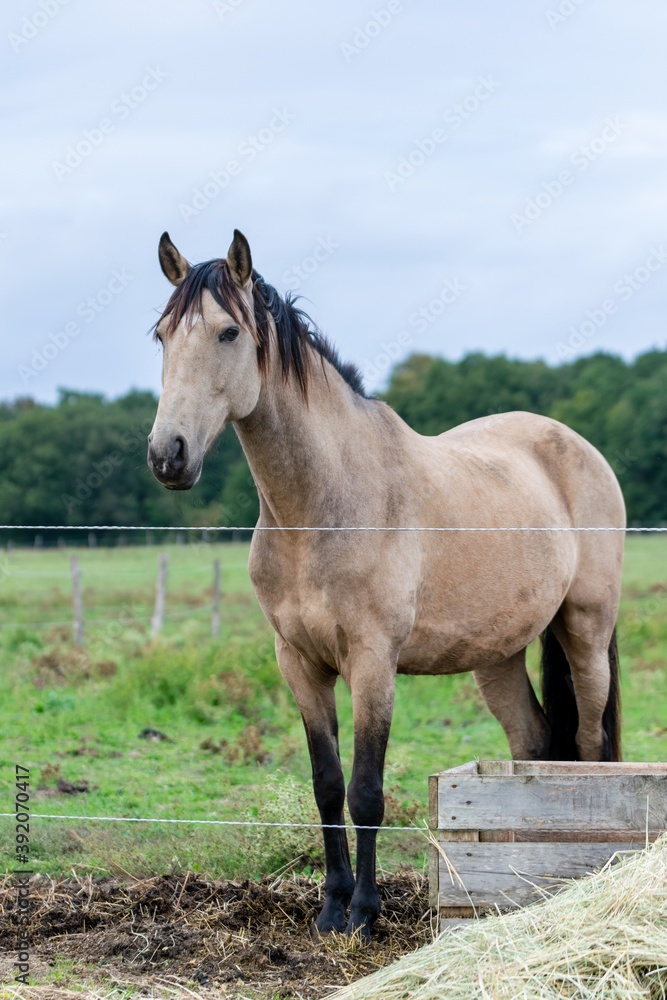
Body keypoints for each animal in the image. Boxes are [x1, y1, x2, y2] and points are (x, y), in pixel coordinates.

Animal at [146, 230, 628, 940]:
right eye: (161, 335)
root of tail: (575, 444)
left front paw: (364, 914)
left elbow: (367, 789)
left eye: (228, 332)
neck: (320, 506)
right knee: (533, 745)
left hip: (585, 631)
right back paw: (516, 880)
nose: (168, 454)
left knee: (590, 746)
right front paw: (329, 907)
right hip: (499, 655)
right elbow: (326, 784)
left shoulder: (373, 661)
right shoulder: (299, 663)